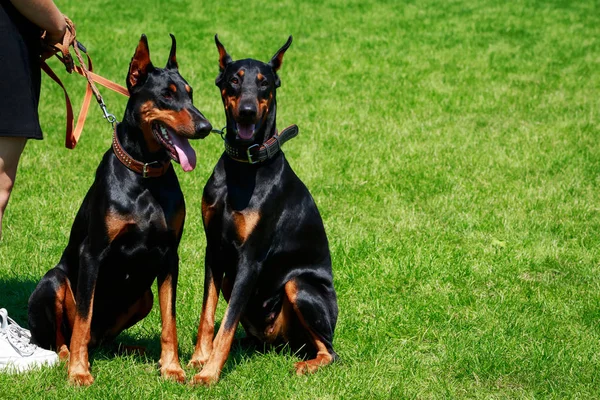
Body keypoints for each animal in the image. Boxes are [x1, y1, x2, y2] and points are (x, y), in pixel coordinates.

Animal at [27, 36, 213, 386]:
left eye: (191, 92)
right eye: (167, 94)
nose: (206, 126)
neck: (146, 174)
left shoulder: (169, 255)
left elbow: (169, 320)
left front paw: (172, 367)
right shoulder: (93, 252)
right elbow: (83, 320)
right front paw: (79, 372)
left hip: (143, 297)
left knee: (100, 337)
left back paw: (131, 349)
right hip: (53, 282)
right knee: (66, 335)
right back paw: (67, 356)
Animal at [189, 36, 338, 386]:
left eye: (264, 84)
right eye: (234, 79)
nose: (246, 111)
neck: (244, 166)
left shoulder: (251, 257)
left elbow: (226, 324)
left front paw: (209, 373)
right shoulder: (214, 250)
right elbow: (208, 314)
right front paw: (199, 359)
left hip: (299, 285)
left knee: (329, 351)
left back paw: (308, 364)